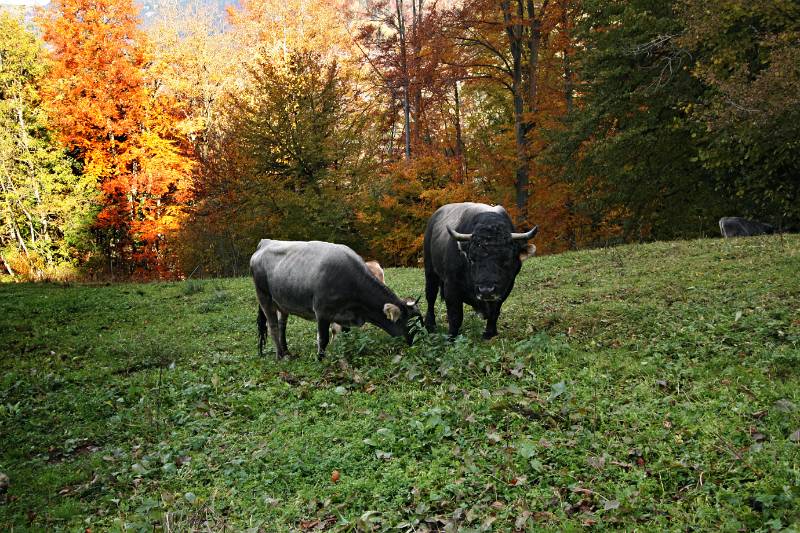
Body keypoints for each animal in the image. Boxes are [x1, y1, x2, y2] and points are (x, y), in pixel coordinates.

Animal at [252, 240, 424, 358]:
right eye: (411, 323)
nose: (422, 340)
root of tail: (266, 242)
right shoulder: (322, 312)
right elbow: (323, 340)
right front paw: (320, 360)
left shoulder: (345, 315)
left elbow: (344, 335)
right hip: (264, 297)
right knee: (273, 326)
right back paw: (280, 356)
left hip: (282, 302)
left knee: (282, 326)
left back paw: (287, 351)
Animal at [424, 202, 536, 338]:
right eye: (472, 259)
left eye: (506, 259)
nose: (486, 290)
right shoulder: (451, 286)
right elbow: (455, 316)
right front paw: (451, 337)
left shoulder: (505, 287)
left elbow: (494, 312)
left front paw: (490, 333)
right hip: (430, 271)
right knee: (430, 297)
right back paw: (430, 325)